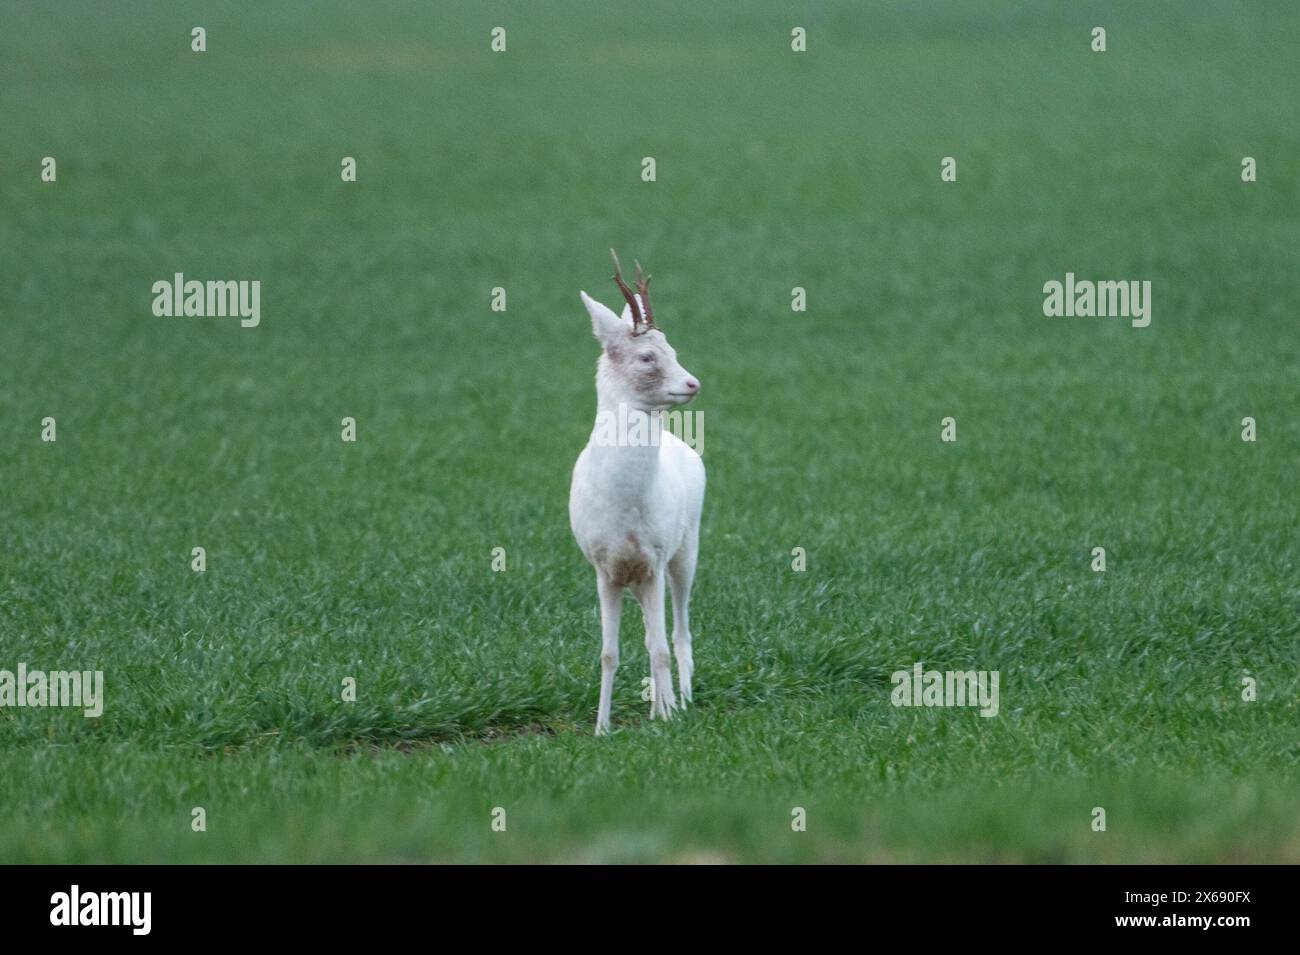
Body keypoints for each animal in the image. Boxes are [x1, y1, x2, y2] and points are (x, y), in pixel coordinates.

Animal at [569, 250, 707, 738]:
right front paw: (601, 727)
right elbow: (608, 653)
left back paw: (681, 702)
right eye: (647, 355)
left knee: (678, 634)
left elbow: (659, 646)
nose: (692, 383)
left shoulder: (654, 558)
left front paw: (667, 718)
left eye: (674, 349)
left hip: (686, 550)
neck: (624, 506)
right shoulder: (604, 568)